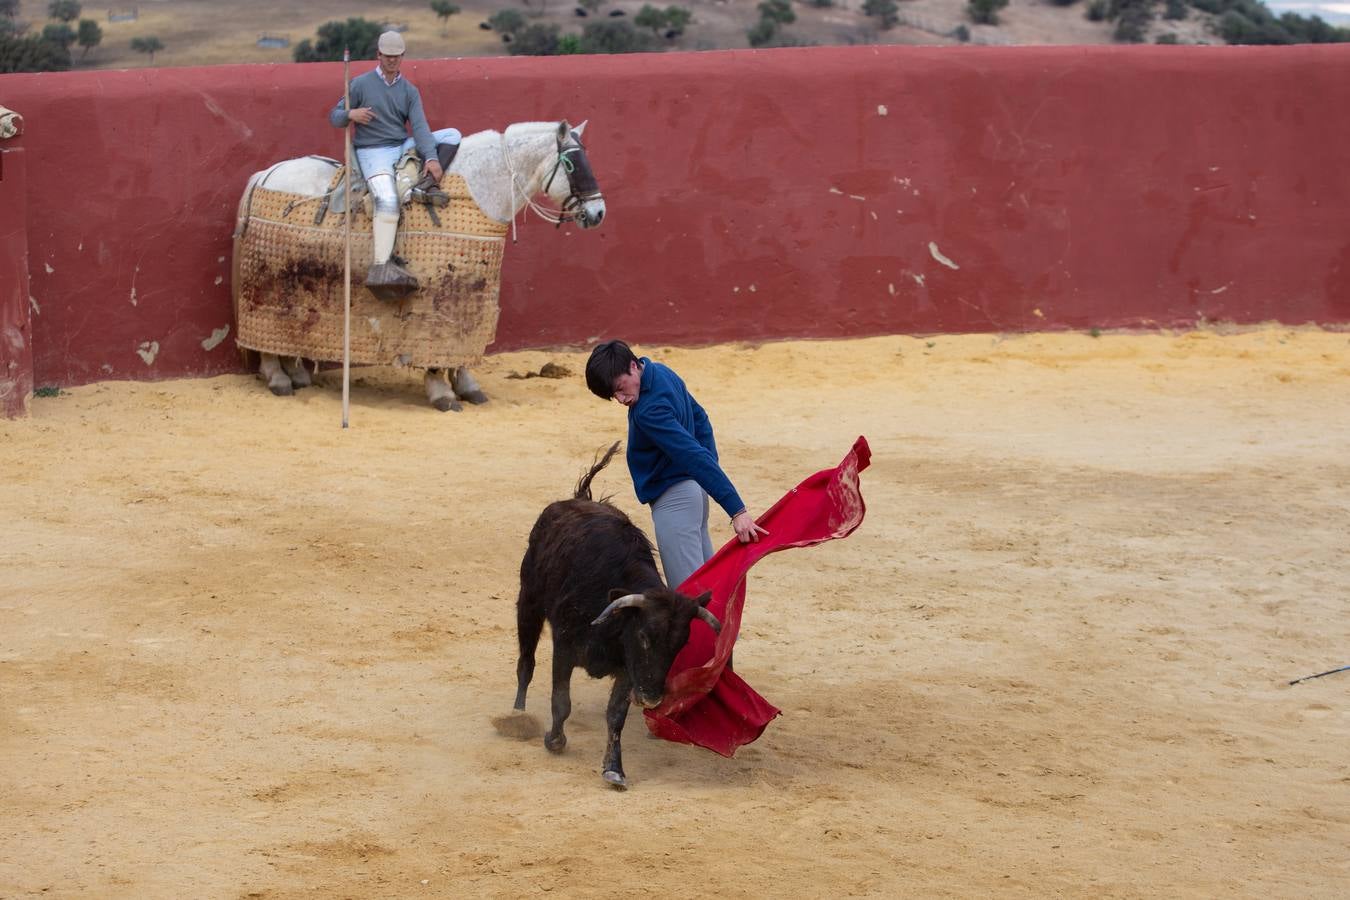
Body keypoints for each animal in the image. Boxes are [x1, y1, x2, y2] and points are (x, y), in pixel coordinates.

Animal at [233, 119, 607, 412]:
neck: (477, 189)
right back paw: (278, 377)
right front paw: (442, 394)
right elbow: (438, 346)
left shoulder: (472, 295)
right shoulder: (439, 302)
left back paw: (295, 374)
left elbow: (464, 342)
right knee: (263, 326)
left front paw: (468, 386)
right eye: (572, 165)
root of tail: (267, 173)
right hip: (272, 281)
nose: (598, 212)